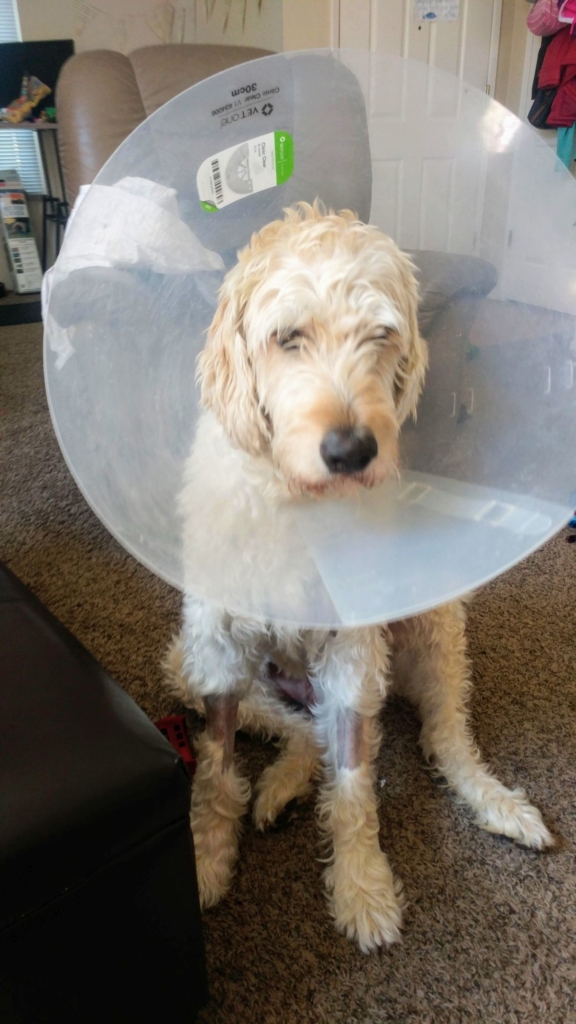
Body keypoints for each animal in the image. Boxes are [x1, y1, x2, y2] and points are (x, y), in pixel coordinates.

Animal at [162, 199, 553, 950]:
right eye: (287, 337)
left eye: (381, 334)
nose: (351, 450)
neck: (296, 502)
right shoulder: (216, 642)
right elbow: (218, 768)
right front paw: (205, 858)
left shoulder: (351, 651)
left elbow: (352, 780)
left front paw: (362, 885)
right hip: (187, 663)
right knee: (298, 727)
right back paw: (279, 784)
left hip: (432, 627)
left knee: (437, 736)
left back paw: (496, 802)